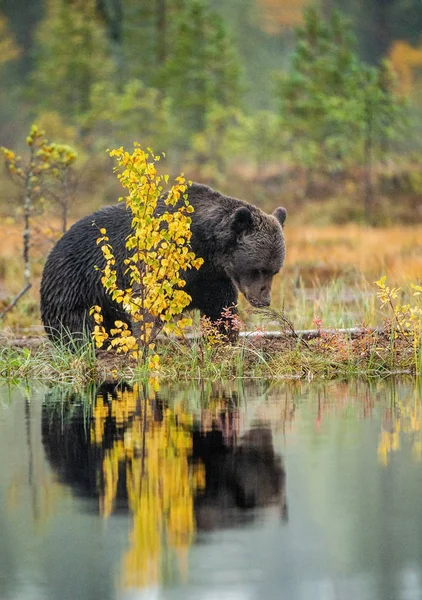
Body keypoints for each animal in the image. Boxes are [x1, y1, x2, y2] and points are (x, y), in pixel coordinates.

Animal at [40, 183, 286, 342]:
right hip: (78, 281)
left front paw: (224, 335)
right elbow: (149, 300)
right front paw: (145, 340)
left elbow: (220, 306)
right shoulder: (165, 254)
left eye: (274, 271)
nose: (265, 300)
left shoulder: (210, 275)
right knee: (74, 320)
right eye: (258, 269)